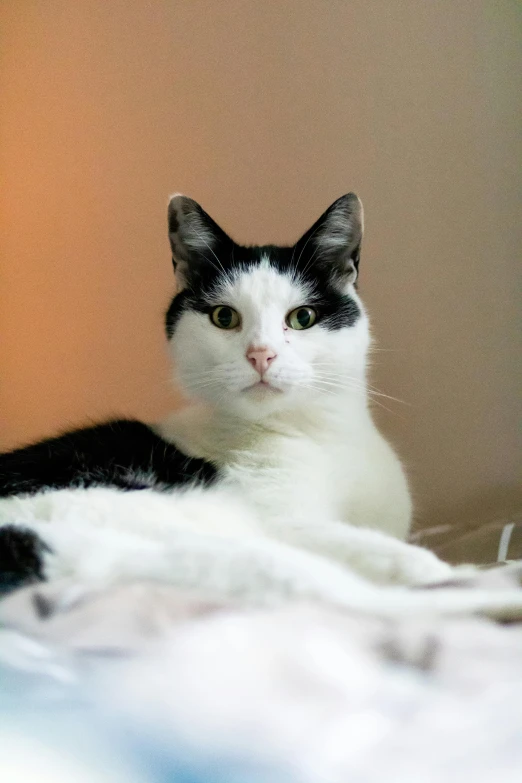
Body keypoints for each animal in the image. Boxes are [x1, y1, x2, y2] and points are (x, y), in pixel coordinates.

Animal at [0, 193, 464, 608]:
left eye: (303, 317)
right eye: (224, 317)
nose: (261, 354)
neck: (319, 433)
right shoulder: (285, 524)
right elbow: (374, 549)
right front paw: (438, 571)